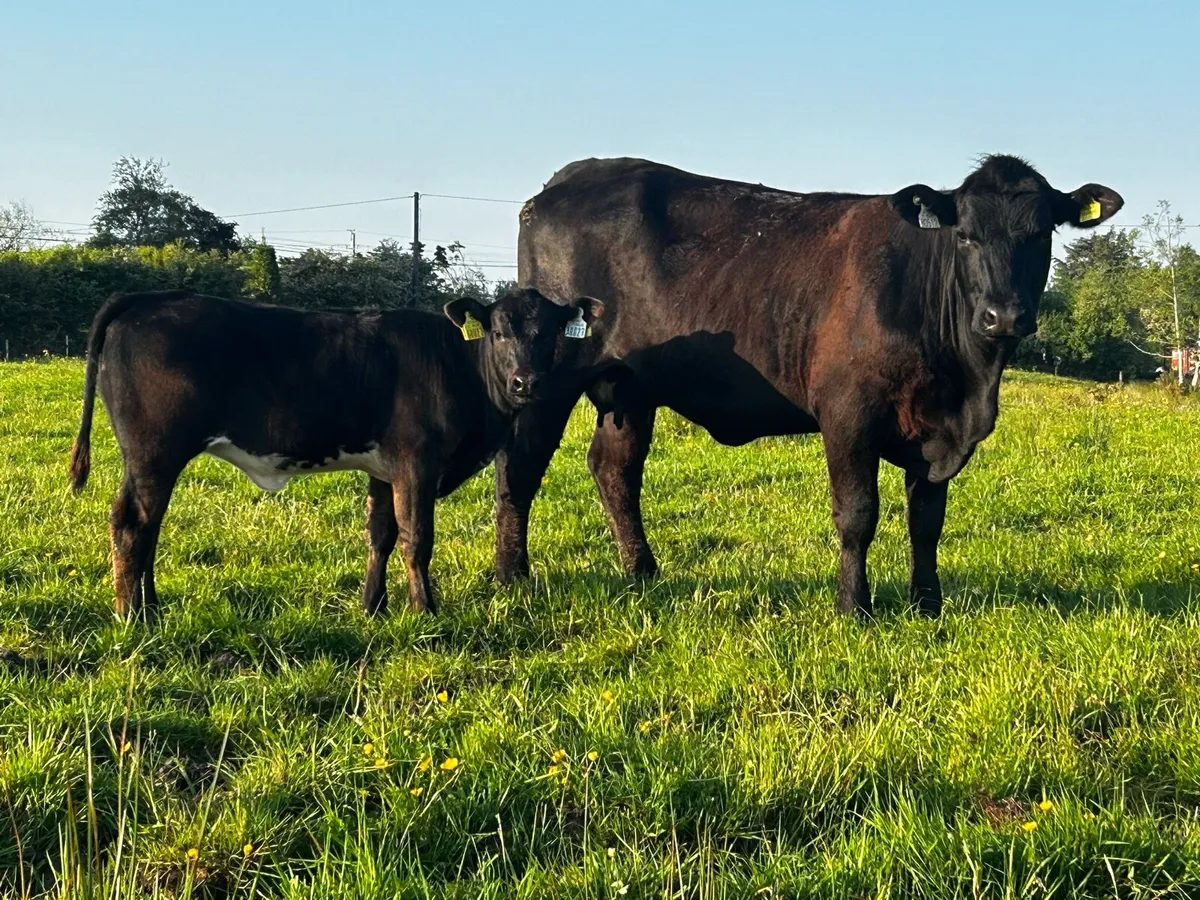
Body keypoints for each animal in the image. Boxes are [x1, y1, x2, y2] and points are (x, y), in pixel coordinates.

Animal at [68, 287, 604, 617]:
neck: (463, 370)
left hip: (150, 460)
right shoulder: (418, 462)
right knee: (132, 523)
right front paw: (425, 610)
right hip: (154, 452)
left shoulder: (384, 468)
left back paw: (150, 607)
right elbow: (417, 538)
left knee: (148, 527)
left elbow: (381, 534)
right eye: (498, 331)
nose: (527, 383)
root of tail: (149, 298)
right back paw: (133, 616)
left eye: (551, 333)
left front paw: (373, 606)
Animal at [497, 155, 1122, 618]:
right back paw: (512, 577)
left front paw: (928, 605)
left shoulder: (935, 430)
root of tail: (564, 180)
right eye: (965, 236)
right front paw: (854, 607)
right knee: (520, 467)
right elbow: (857, 514)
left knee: (614, 469)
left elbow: (927, 522)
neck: (967, 379)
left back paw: (642, 573)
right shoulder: (847, 414)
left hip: (630, 388)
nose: (1004, 316)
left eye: (1040, 234)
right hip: (544, 377)